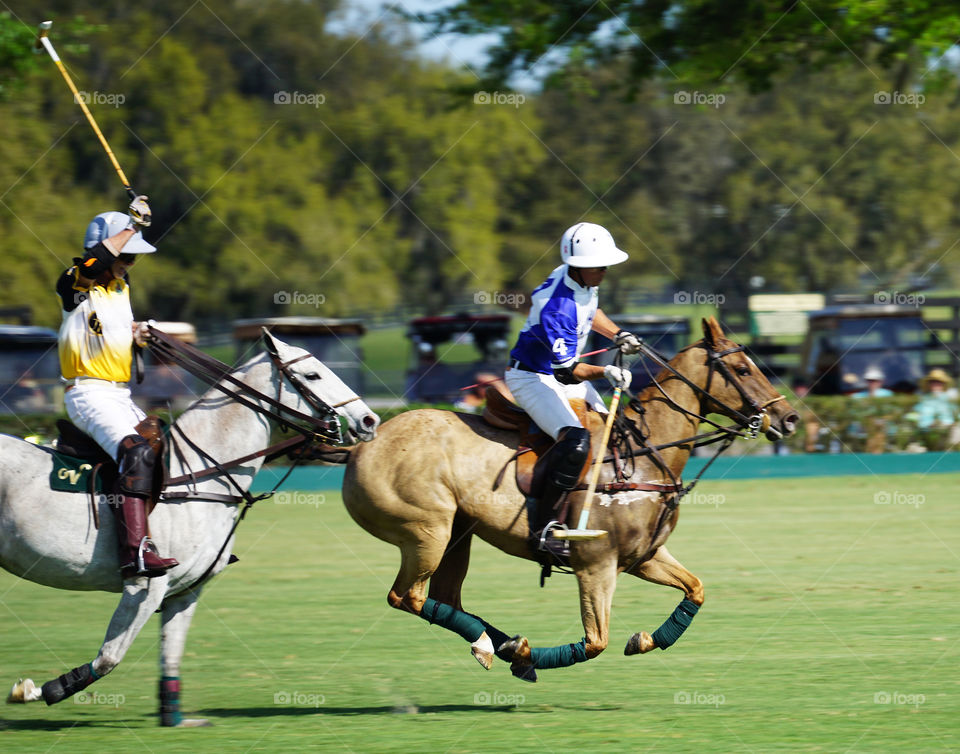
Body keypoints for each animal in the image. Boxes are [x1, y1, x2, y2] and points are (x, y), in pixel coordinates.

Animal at [1, 332, 376, 724]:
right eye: (312, 375)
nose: (369, 420)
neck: (201, 474)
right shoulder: (145, 587)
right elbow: (109, 657)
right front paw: (40, 689)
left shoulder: (185, 592)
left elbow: (170, 657)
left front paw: (175, 718)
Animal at [342, 314, 800, 680]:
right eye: (741, 369)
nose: (790, 418)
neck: (642, 456)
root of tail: (362, 445)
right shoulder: (596, 564)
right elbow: (596, 641)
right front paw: (533, 655)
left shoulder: (643, 556)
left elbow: (696, 589)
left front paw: (645, 639)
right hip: (426, 530)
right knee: (408, 596)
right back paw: (499, 646)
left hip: (458, 532)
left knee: (442, 597)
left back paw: (501, 645)